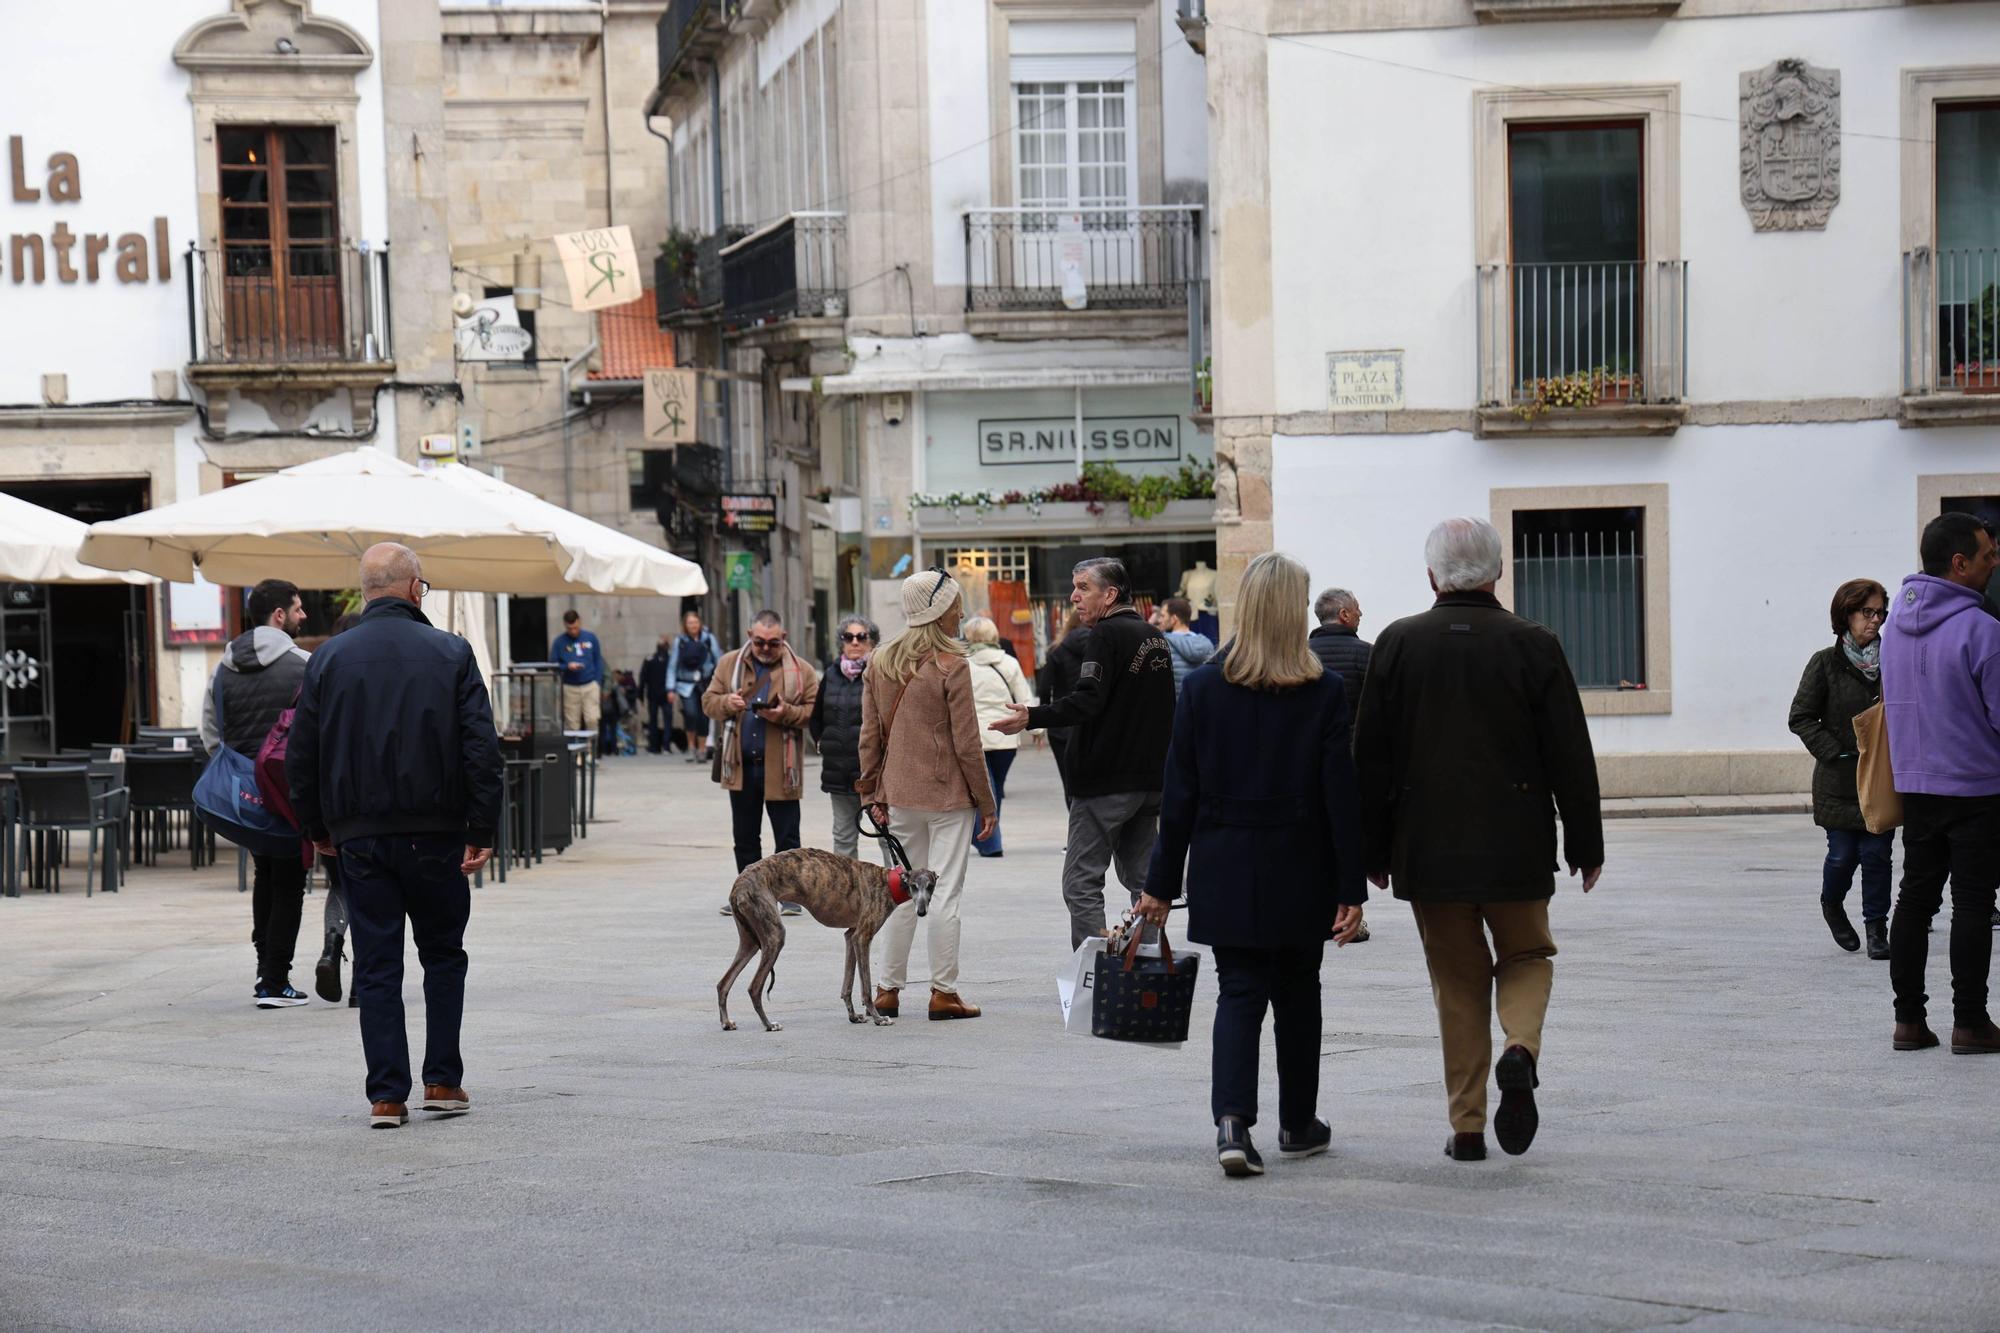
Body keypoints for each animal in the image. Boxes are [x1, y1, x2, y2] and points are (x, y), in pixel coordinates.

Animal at [720, 844, 936, 1032]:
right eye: (914, 886)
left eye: (930, 886)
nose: (922, 912)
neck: (889, 883)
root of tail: (738, 884)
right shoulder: (863, 937)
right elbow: (866, 987)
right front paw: (878, 1018)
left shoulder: (851, 936)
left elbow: (847, 985)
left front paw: (854, 1016)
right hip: (774, 936)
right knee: (754, 988)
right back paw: (768, 1024)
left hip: (750, 941)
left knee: (723, 983)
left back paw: (727, 1022)